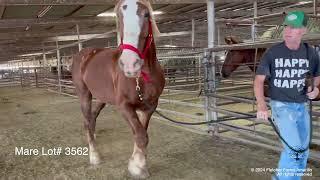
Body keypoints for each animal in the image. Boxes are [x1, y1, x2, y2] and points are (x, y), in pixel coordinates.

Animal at [71, 0, 165, 179]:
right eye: (119, 17)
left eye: (146, 15)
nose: (130, 65)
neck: (142, 77)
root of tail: (84, 54)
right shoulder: (124, 106)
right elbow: (141, 135)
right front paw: (138, 168)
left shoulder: (149, 106)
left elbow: (141, 133)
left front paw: (137, 163)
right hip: (84, 94)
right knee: (87, 121)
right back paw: (94, 156)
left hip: (102, 98)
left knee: (92, 118)